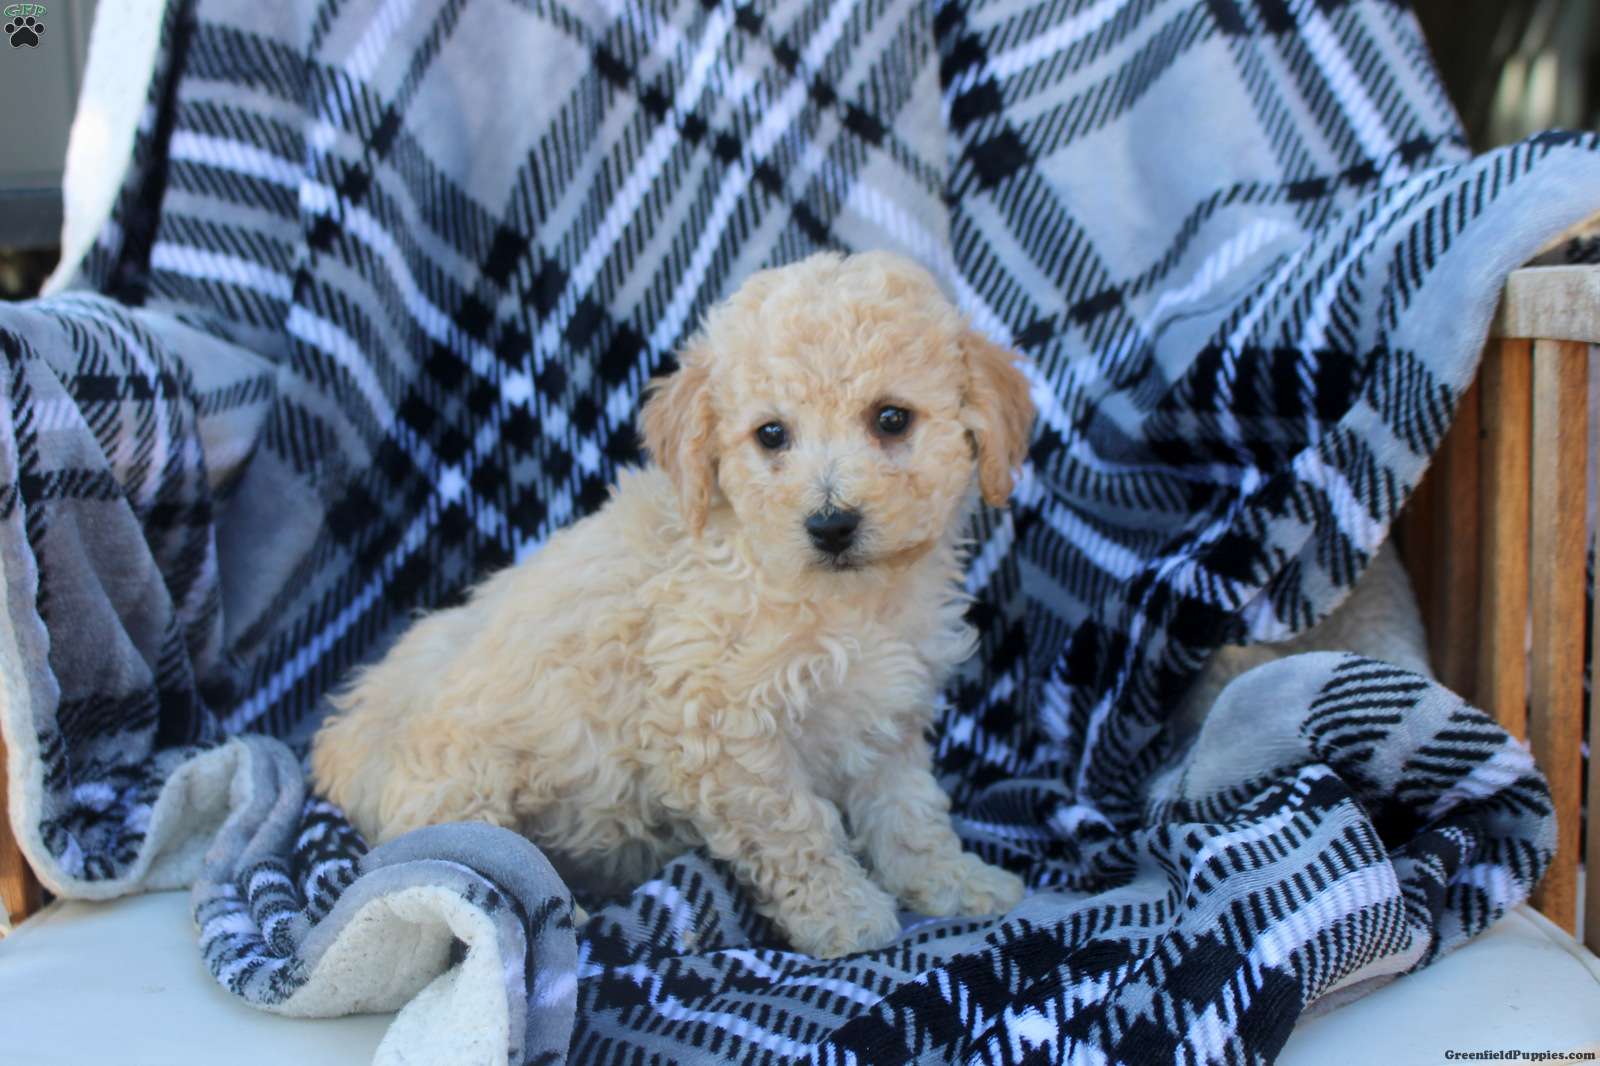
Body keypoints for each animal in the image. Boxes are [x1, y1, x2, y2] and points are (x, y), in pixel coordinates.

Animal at [310, 250, 1034, 957]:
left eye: (891, 419)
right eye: (771, 434)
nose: (831, 524)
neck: (845, 601)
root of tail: (343, 738)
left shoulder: (886, 712)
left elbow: (910, 812)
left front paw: (952, 882)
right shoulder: (722, 730)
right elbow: (796, 830)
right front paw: (846, 914)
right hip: (458, 768)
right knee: (444, 846)